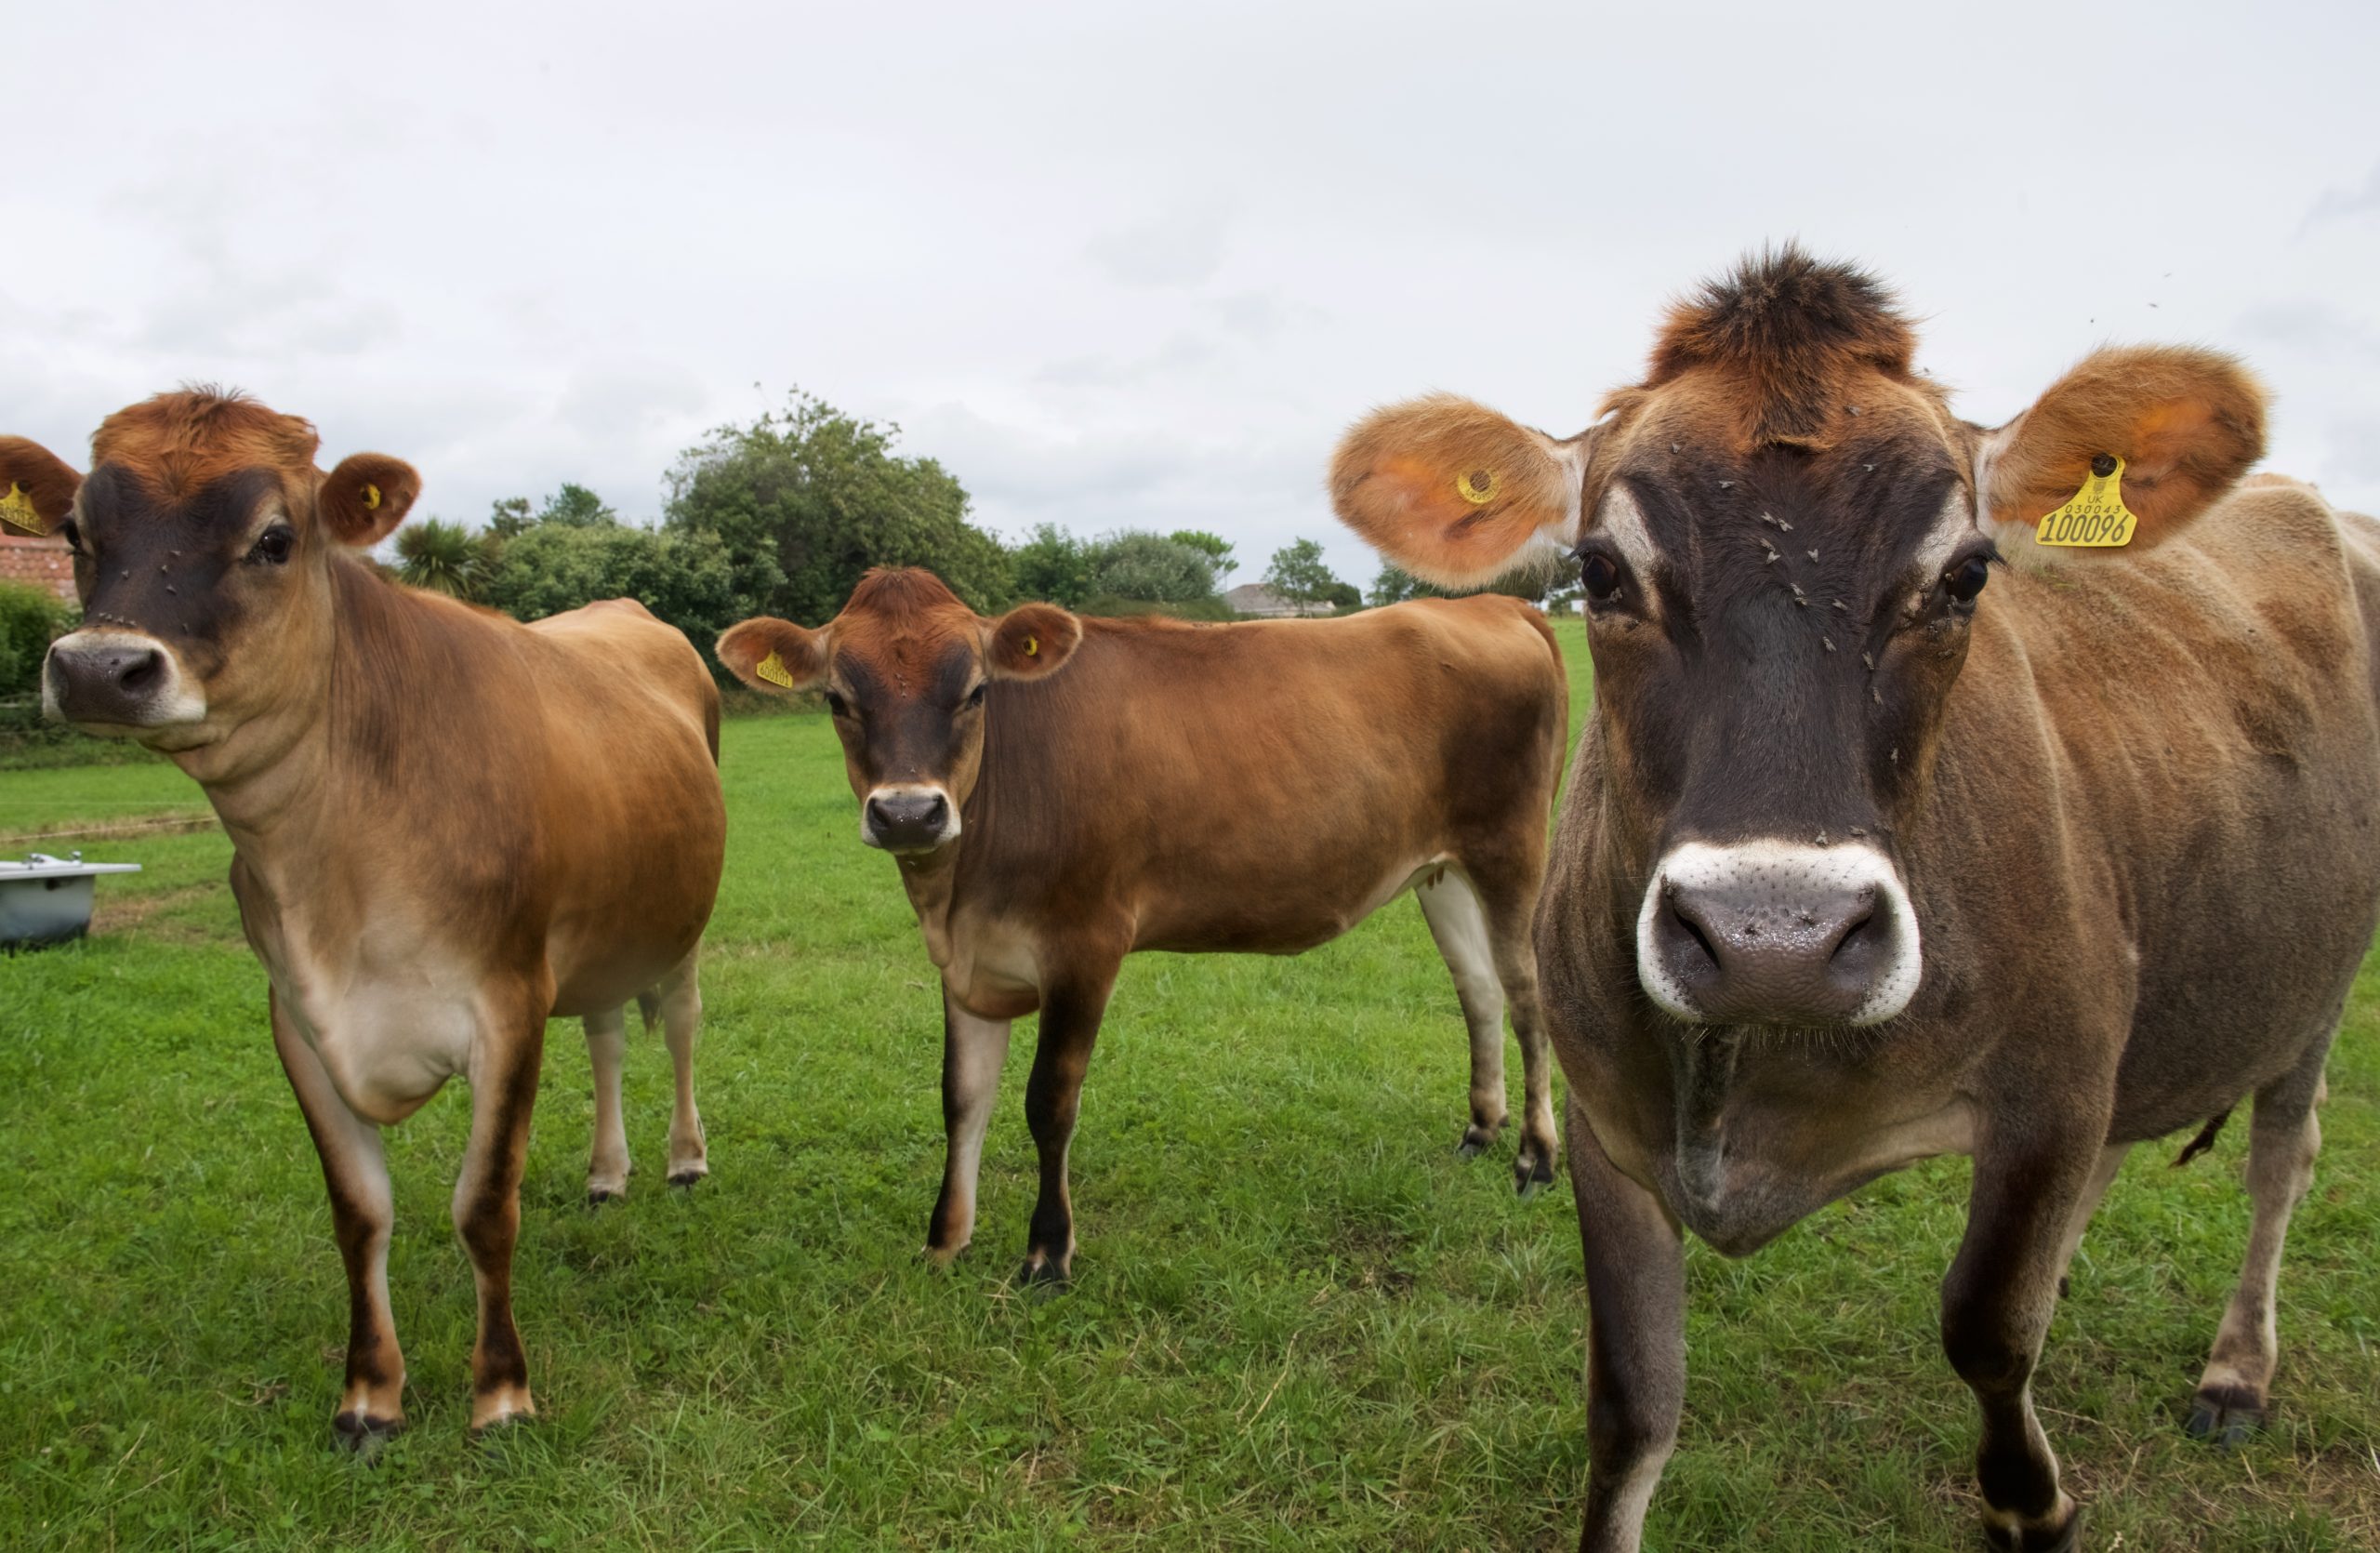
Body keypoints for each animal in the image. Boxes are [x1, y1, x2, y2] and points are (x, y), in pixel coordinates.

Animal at [1, 391, 727, 1445]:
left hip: (679, 929)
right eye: (74, 533)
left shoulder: (508, 1003)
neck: (332, 871)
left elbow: (484, 1207)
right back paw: (606, 1173)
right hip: (598, 937)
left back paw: (681, 1160)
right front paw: (369, 1396)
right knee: (603, 1037)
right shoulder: (298, 1021)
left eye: (274, 538)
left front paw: (501, 1394)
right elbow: (359, 1213)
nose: (101, 667)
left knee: (674, 1028)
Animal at [716, 568, 1566, 1283]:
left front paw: (1047, 1254)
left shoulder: (1086, 944)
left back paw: (1536, 1158)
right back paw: (1481, 1131)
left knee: (1528, 994)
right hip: (1440, 870)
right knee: (1479, 989)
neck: (956, 896)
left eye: (975, 691)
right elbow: (961, 1098)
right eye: (837, 699)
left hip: (1513, 847)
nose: (907, 813)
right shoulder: (966, 965)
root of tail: (1492, 605)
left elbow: (1048, 1101)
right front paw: (944, 1242)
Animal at [1328, 248, 2380, 1551]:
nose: (1770, 940)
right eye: (1600, 570)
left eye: (1967, 572)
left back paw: (2235, 1371)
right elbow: (1631, 1406)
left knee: (2281, 1157)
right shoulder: (1606, 1124)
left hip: (2316, 977)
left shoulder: (2055, 1081)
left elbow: (1984, 1325)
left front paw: (2032, 1501)